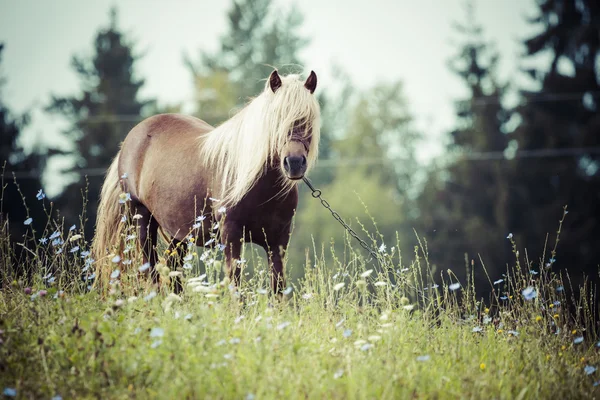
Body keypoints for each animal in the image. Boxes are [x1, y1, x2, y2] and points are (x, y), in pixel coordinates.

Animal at [91, 69, 322, 294]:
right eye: (275, 118)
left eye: (308, 119)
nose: (294, 163)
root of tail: (131, 139)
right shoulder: (231, 235)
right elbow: (235, 287)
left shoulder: (278, 240)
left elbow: (278, 290)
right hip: (141, 220)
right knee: (151, 272)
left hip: (177, 233)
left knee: (174, 271)